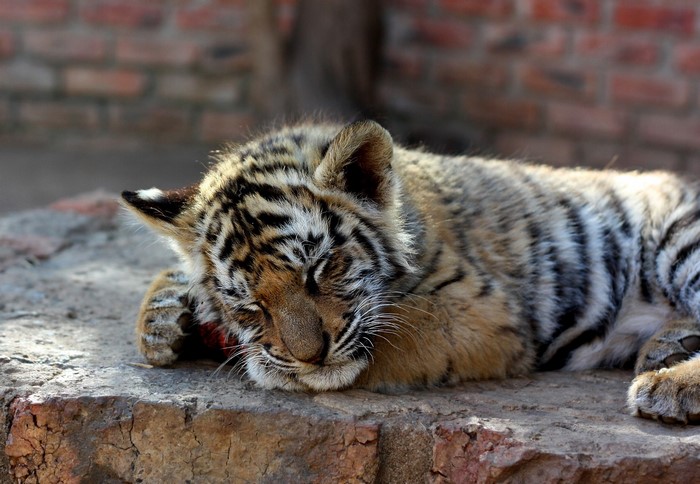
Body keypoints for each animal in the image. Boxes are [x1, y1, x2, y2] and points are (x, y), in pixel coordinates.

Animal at [122, 120, 700, 424]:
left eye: (319, 269)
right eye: (250, 304)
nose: (309, 358)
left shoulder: (483, 311)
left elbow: (400, 335)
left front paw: (273, 369)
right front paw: (161, 324)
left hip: (679, 236)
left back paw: (668, 384)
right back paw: (666, 347)